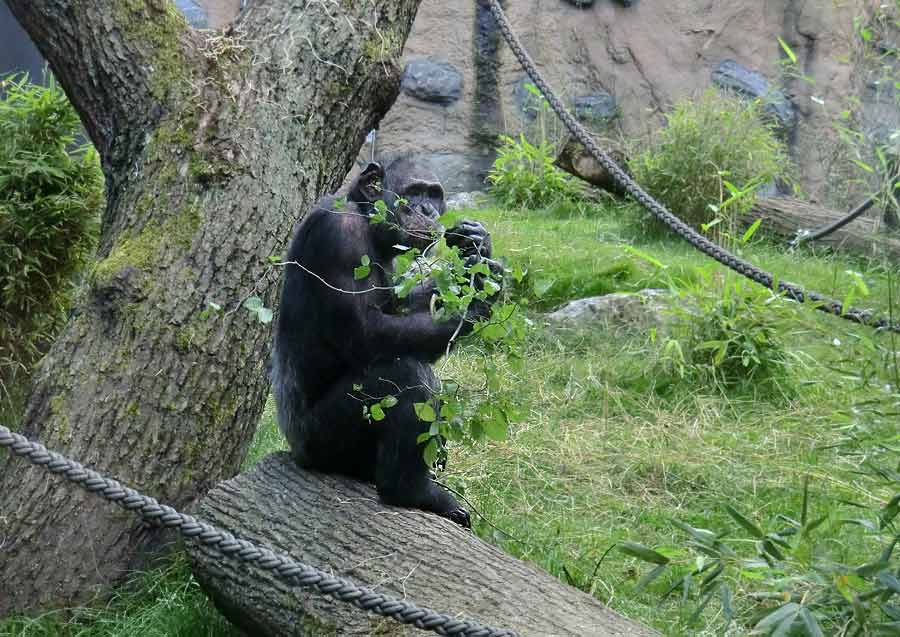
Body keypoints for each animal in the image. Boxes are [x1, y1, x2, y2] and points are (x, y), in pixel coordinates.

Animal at [272, 157, 500, 524]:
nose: (427, 210)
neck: (368, 221)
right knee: (404, 374)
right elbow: (367, 333)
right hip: (322, 444)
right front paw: (475, 306)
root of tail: (296, 452)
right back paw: (413, 491)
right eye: (414, 191)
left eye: (434, 195)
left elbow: (400, 306)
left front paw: (478, 246)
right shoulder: (340, 235)